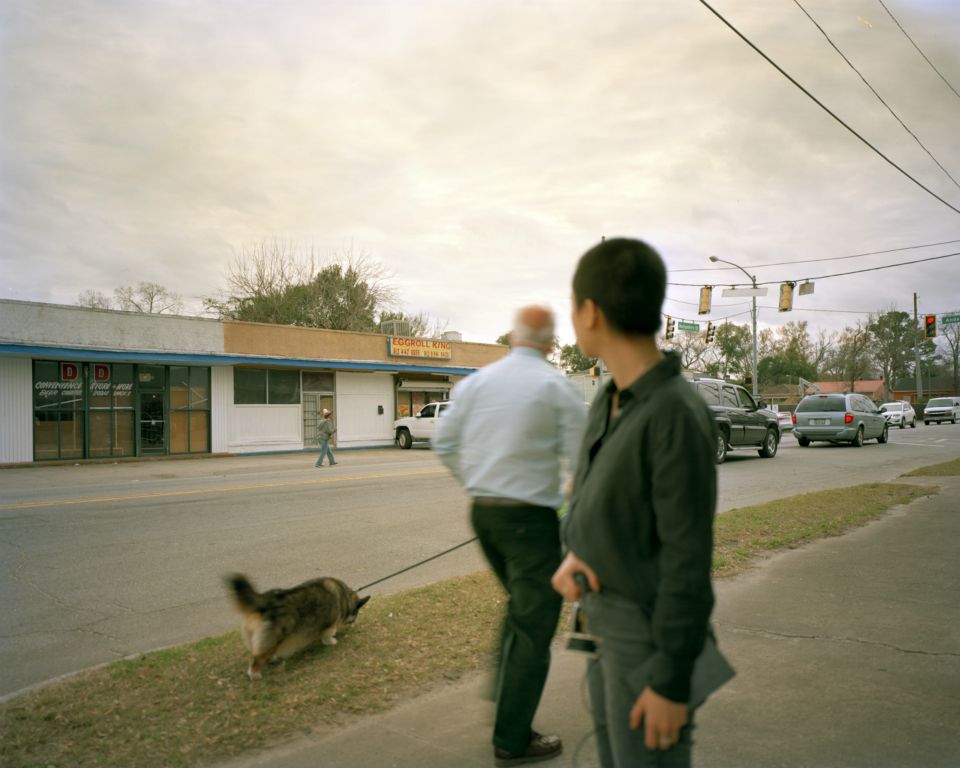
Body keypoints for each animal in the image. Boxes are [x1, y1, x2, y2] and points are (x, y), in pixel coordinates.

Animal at [227, 572, 370, 680]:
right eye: (356, 613)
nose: (354, 622)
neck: (345, 596)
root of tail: (264, 602)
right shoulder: (330, 624)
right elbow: (328, 635)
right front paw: (332, 641)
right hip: (273, 639)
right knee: (257, 658)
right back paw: (255, 675)